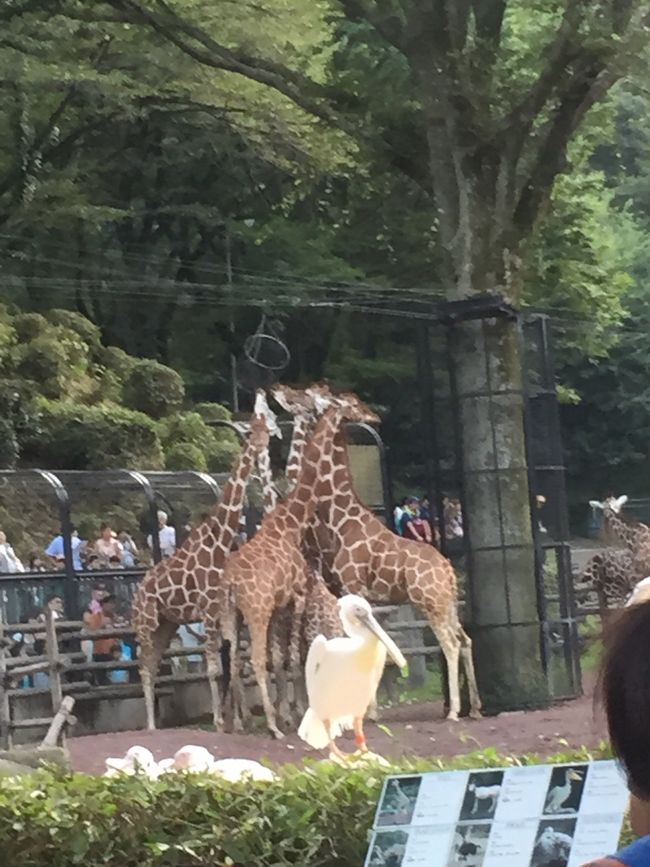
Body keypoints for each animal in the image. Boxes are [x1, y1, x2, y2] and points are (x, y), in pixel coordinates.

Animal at [132, 394, 278, 732]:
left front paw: (231, 720)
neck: (220, 542)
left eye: (267, 428)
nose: (264, 446)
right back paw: (150, 726)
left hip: (167, 624)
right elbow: (214, 668)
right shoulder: (210, 612)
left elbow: (224, 664)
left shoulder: (217, 612)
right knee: (143, 666)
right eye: (253, 432)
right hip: (146, 622)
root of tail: (138, 591)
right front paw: (219, 720)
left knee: (153, 664)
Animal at [220, 402, 378, 740]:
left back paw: (237, 723)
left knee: (234, 660)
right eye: (353, 404)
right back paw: (271, 726)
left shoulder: (280, 605)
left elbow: (283, 658)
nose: (374, 416)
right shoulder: (296, 597)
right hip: (255, 611)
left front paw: (288, 714)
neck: (289, 523)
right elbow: (291, 656)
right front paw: (288, 717)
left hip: (231, 614)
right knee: (256, 659)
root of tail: (231, 583)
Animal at [298, 384, 480, 724]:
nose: (374, 416)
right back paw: (474, 707)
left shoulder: (352, 585)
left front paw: (367, 712)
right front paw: (369, 710)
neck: (341, 518)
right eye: (354, 403)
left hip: (430, 602)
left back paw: (453, 711)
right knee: (464, 640)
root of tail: (448, 570)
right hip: (447, 601)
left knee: (449, 644)